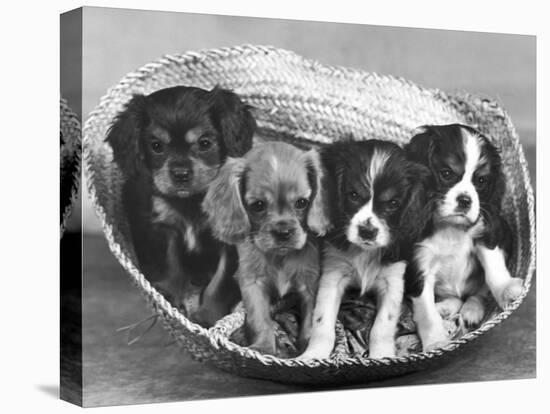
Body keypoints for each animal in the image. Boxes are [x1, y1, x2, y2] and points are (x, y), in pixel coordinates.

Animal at [106, 84, 258, 326]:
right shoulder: (163, 229)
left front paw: (208, 316)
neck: (191, 200)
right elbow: (170, 265)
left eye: (205, 143)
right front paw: (169, 298)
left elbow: (220, 282)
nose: (180, 174)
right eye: (156, 146)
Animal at [204, 141, 330, 354]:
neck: (280, 257)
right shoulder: (252, 283)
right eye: (258, 205)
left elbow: (311, 317)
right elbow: (260, 318)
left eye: (302, 202)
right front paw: (263, 347)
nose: (283, 232)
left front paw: (308, 347)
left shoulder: (310, 282)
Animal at [300, 140, 430, 360]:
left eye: (393, 203)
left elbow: (382, 326)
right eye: (353, 195)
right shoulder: (333, 273)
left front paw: (381, 357)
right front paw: (314, 355)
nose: (367, 231)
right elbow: (322, 320)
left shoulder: (392, 280)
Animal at [406, 124, 528, 350]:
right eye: (446, 173)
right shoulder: (419, 263)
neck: (451, 226)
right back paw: (445, 308)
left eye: (481, 180)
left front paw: (506, 289)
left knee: (477, 294)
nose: (465, 200)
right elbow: (426, 311)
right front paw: (435, 341)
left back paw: (472, 310)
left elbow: (493, 269)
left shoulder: (487, 232)